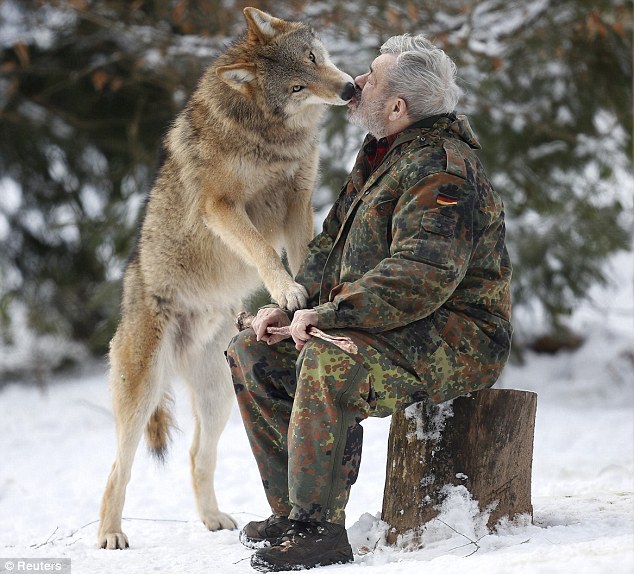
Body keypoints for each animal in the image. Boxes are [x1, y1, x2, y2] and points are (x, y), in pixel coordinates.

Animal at [99, 6, 356, 552]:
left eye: (312, 57)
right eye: (297, 86)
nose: (348, 89)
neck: (270, 136)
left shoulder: (298, 199)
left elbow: (303, 251)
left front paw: (303, 301)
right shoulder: (221, 207)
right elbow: (261, 250)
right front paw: (286, 290)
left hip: (218, 398)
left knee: (198, 455)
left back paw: (214, 520)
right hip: (142, 395)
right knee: (118, 467)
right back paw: (110, 535)